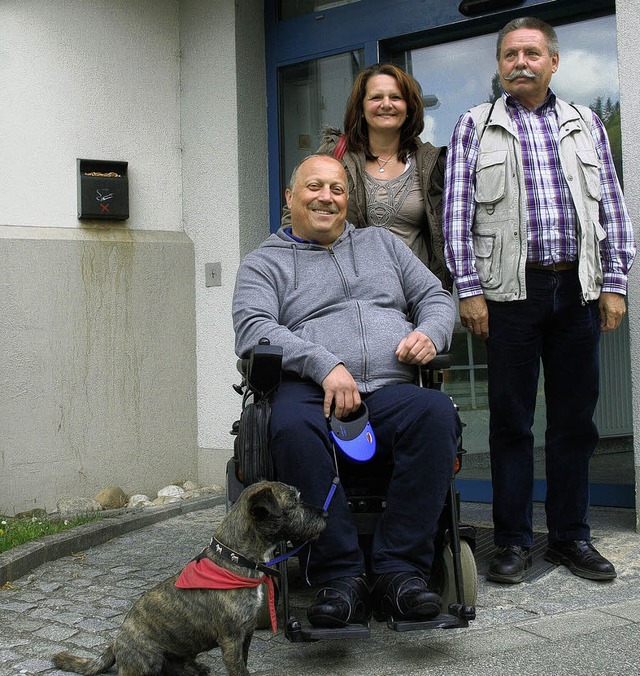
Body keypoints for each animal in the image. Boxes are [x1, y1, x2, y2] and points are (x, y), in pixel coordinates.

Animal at [52, 480, 328, 676]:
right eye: (294, 503)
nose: (325, 514)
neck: (236, 560)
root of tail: (117, 640)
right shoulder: (231, 639)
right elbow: (239, 669)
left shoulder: (246, 633)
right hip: (149, 657)